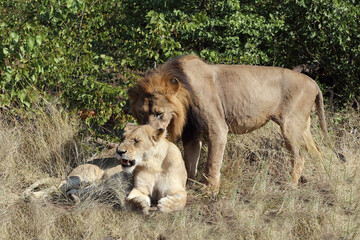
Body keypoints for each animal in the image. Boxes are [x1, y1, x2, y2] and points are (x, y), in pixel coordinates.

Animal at [130, 55, 332, 192]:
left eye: (159, 113)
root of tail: (313, 82)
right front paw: (187, 185)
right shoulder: (192, 133)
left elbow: (212, 162)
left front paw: (209, 190)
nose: (148, 135)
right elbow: (190, 162)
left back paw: (291, 185)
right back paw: (322, 177)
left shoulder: (217, 127)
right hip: (302, 127)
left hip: (289, 126)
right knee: (318, 153)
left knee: (300, 157)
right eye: (142, 113)